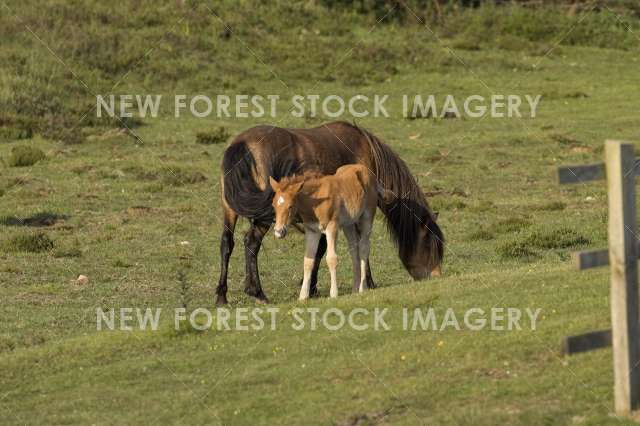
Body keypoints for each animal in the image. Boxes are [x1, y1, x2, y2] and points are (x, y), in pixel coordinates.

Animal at [269, 164, 386, 299]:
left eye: (290, 206)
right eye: (273, 205)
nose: (279, 231)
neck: (315, 201)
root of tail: (369, 172)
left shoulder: (332, 227)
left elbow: (331, 258)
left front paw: (334, 293)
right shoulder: (312, 231)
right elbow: (308, 261)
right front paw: (303, 296)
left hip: (367, 217)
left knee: (363, 248)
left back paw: (363, 288)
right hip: (349, 225)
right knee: (354, 250)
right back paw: (354, 289)